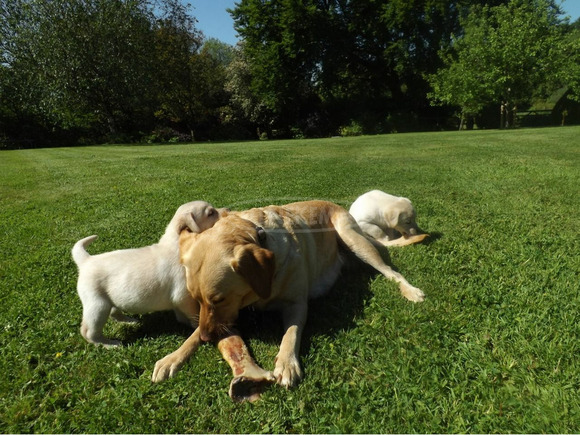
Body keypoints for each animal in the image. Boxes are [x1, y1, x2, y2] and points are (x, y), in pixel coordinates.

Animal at [71, 201, 225, 348]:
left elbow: (181, 315)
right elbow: (193, 314)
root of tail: (86, 260)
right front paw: (197, 328)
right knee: (88, 332)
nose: (227, 209)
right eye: (211, 213)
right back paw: (109, 344)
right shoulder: (183, 296)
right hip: (97, 305)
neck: (176, 244)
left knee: (114, 313)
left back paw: (129, 321)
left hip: (109, 300)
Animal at [153, 201, 426, 388]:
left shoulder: (297, 305)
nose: (208, 338)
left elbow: (291, 333)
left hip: (353, 239)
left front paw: (286, 363)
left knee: (391, 272)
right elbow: (193, 333)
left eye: (219, 299)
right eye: (195, 299)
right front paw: (173, 357)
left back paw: (410, 290)